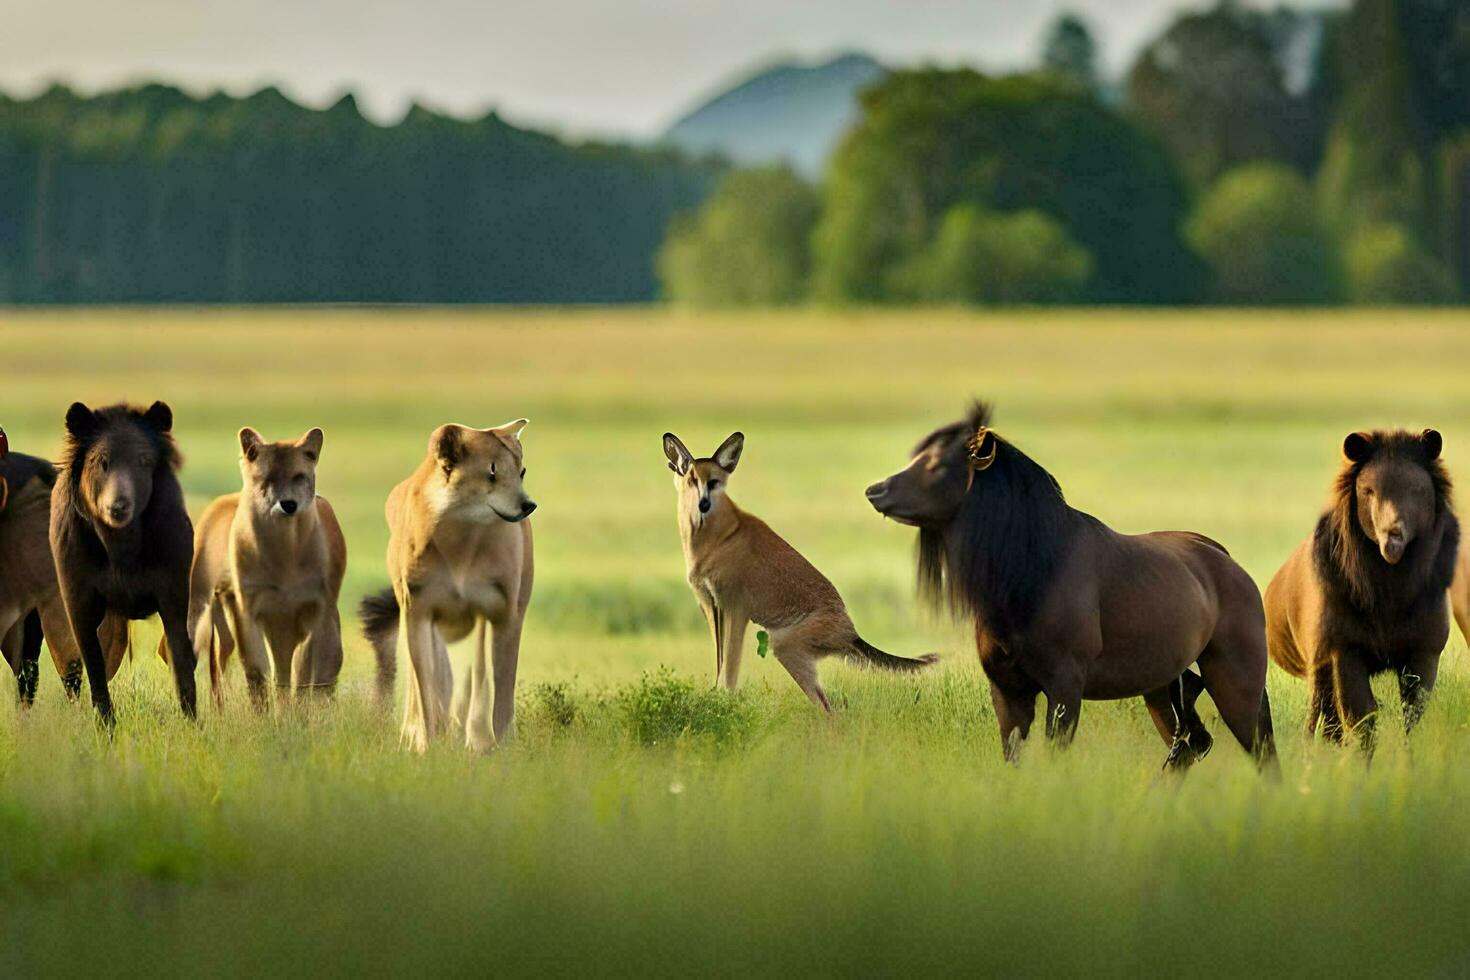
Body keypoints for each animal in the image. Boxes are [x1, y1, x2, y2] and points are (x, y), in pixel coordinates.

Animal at [188, 426, 348, 705]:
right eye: (268, 478)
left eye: (299, 476)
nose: (289, 504)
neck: (284, 557)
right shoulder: (250, 611)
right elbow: (257, 674)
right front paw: (265, 713)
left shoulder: (314, 613)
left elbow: (303, 678)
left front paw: (299, 715)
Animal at [358, 420, 538, 752]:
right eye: (491, 472)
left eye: (521, 472)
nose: (528, 505)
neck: (460, 538)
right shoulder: (419, 614)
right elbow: (425, 686)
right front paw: (426, 744)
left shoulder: (503, 615)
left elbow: (500, 689)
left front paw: (498, 746)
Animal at [664, 431, 934, 714]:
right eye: (692, 479)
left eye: (714, 482)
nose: (703, 504)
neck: (714, 537)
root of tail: (851, 633)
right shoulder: (710, 605)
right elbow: (719, 660)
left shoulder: (735, 608)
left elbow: (730, 664)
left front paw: (725, 702)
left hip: (784, 647)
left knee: (827, 708)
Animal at [870, 402, 1275, 769]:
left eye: (937, 465)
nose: (876, 491)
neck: (1031, 573)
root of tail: (1227, 562)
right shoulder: (1008, 691)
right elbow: (1012, 756)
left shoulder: (1064, 688)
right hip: (1163, 684)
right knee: (1193, 743)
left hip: (1235, 678)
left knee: (1260, 753)